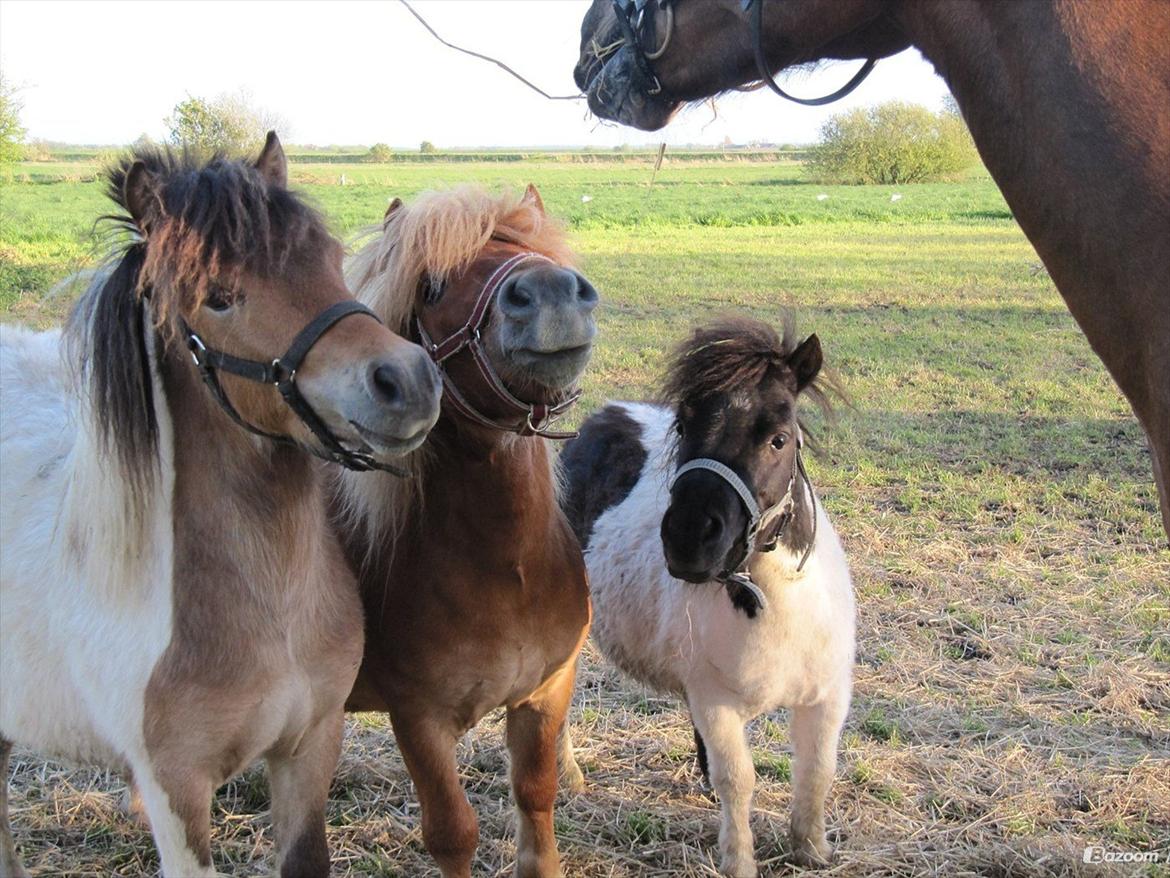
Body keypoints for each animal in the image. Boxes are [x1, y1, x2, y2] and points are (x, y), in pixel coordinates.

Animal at [0, 134, 439, 875]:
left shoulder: (309, 747)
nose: (406, 381)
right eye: (219, 299)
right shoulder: (175, 793)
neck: (267, 612)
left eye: (328, 260)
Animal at [334, 187, 599, 878]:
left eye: (537, 248)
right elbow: (453, 832)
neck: (509, 571)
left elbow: (536, 794)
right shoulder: (418, 719)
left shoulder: (545, 693)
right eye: (430, 286)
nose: (551, 291)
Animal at [556, 320, 851, 875]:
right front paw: (738, 860)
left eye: (778, 439)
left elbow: (817, 770)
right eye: (684, 428)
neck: (770, 606)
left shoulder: (826, 697)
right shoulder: (715, 701)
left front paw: (812, 849)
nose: (689, 538)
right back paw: (566, 776)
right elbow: (738, 778)